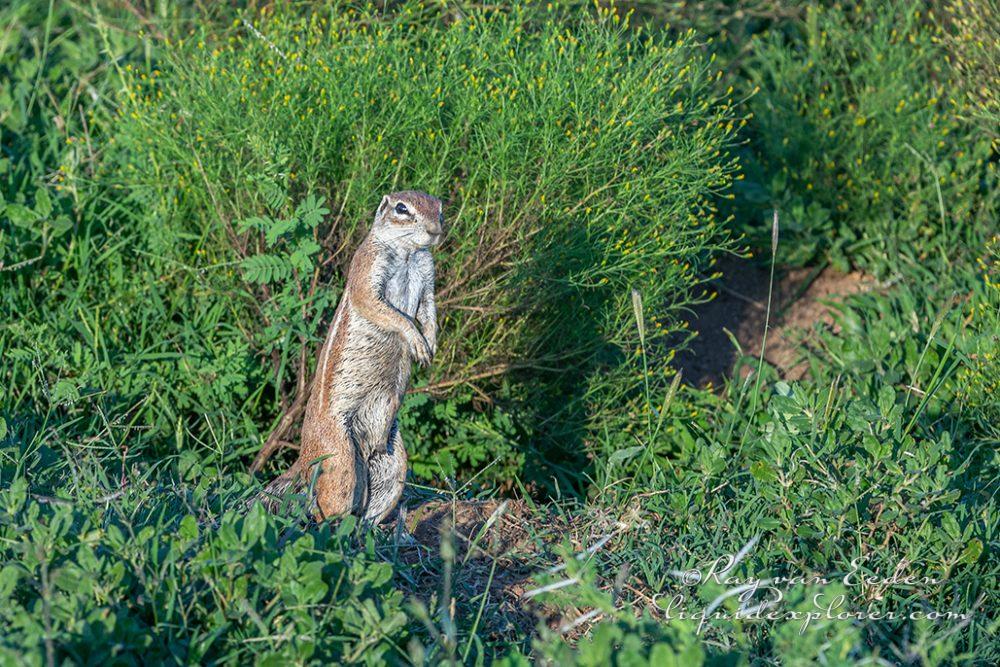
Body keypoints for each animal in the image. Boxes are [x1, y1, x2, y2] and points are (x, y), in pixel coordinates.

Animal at [262, 190, 442, 524]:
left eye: (440, 208)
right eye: (402, 209)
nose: (435, 230)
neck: (408, 253)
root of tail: (303, 456)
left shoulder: (428, 276)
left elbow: (429, 310)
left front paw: (431, 342)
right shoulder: (366, 268)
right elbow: (384, 309)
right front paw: (417, 341)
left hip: (393, 460)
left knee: (372, 502)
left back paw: (372, 527)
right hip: (340, 458)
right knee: (328, 505)